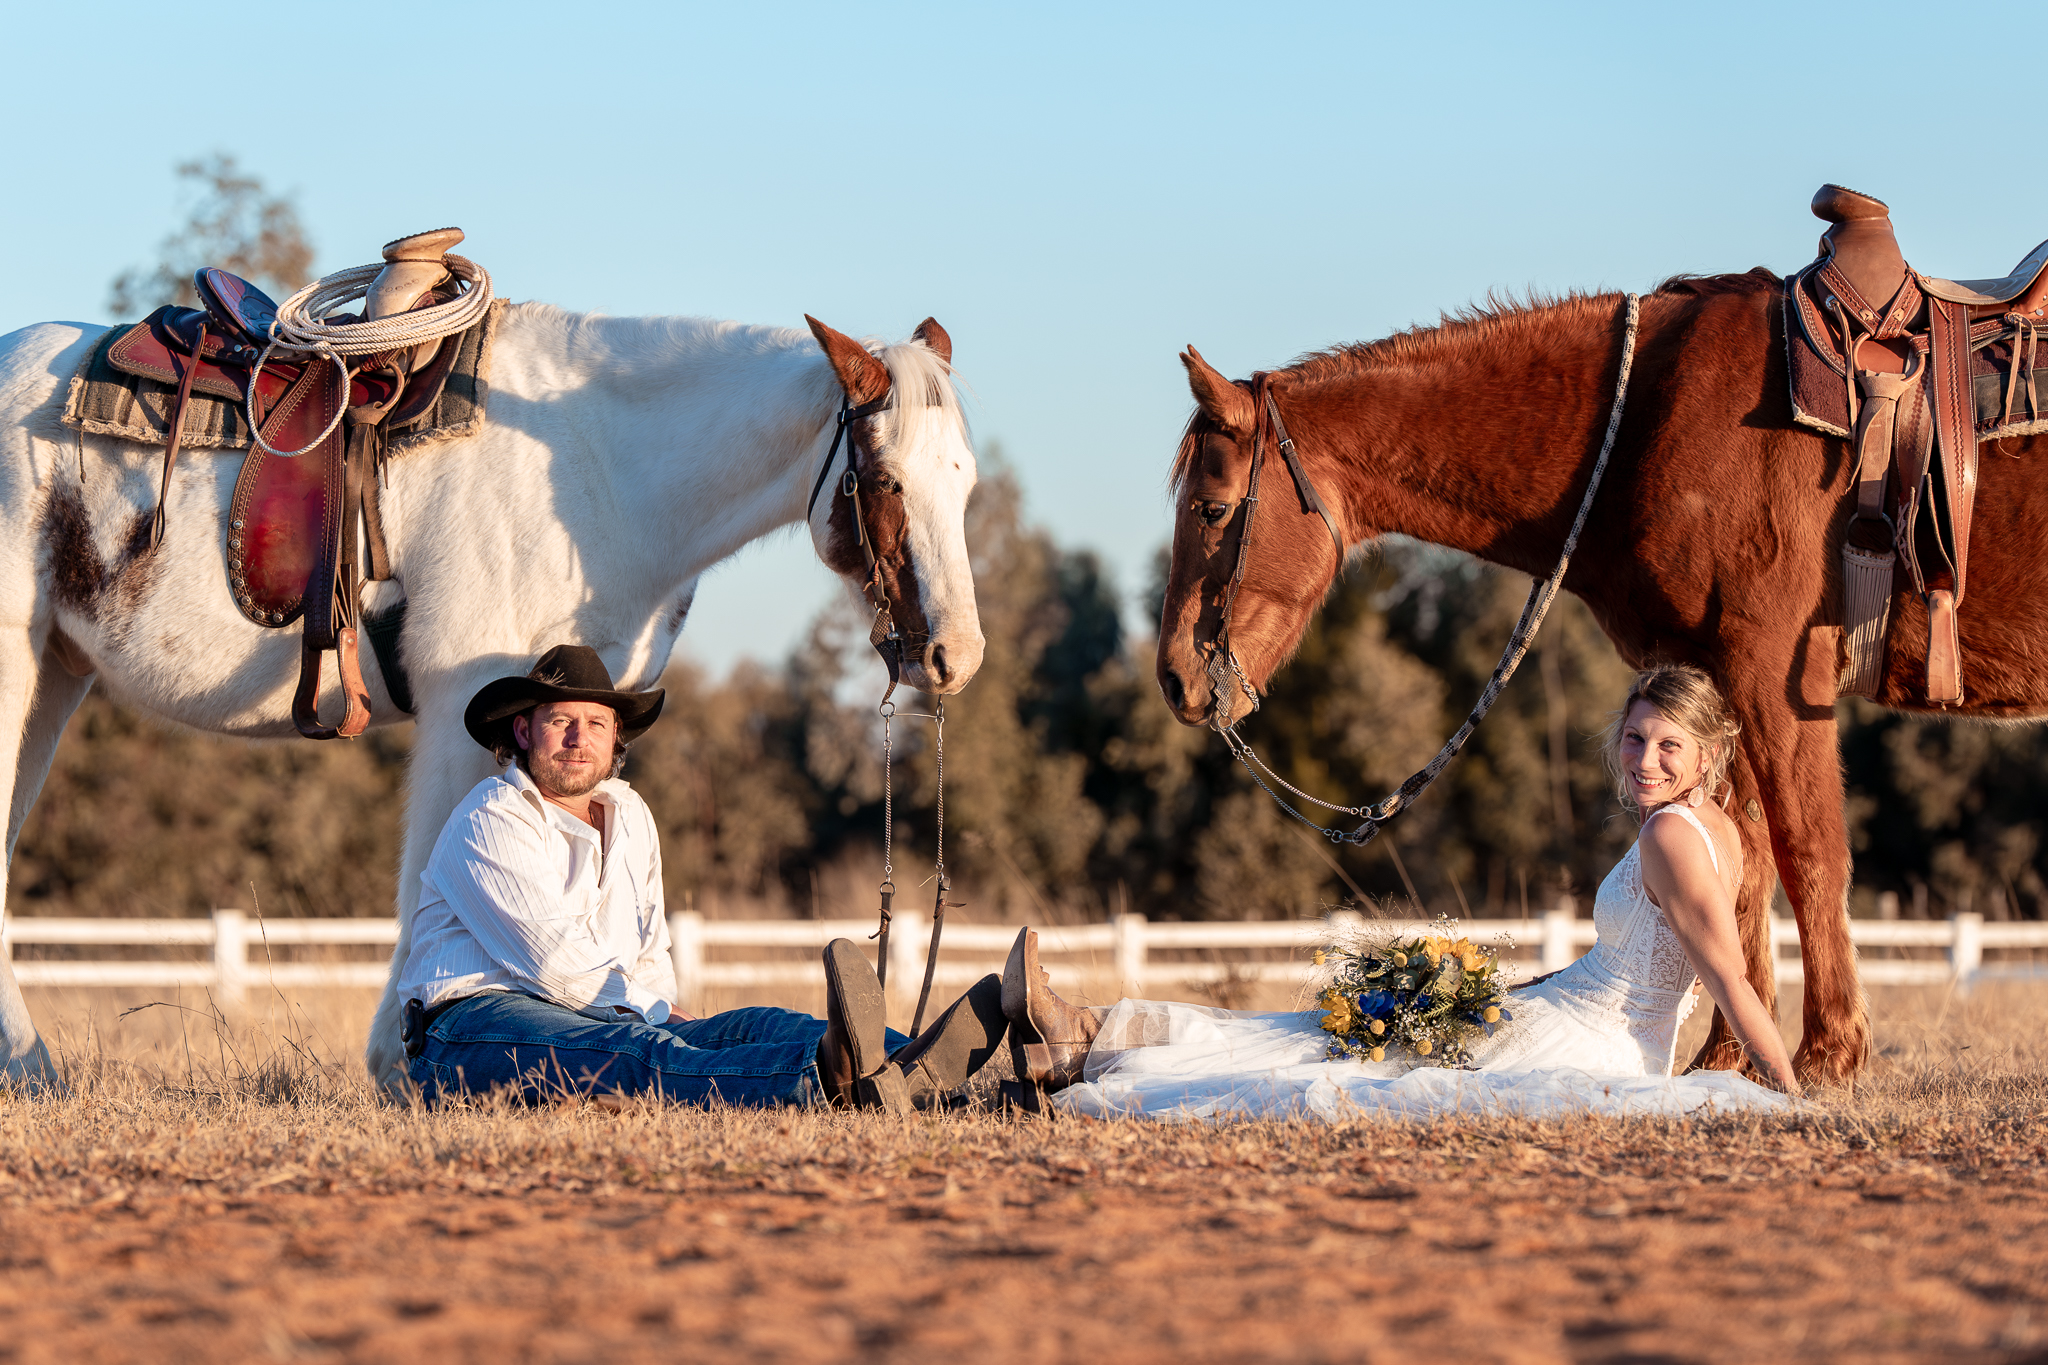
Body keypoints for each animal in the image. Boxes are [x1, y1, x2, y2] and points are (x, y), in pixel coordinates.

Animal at [0, 303, 984, 1093]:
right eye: (885, 480)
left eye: (967, 481)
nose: (956, 654)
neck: (598, 471)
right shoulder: (463, 707)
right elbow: (432, 879)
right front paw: (399, 1063)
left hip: (56, 673)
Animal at [1154, 270, 2048, 1085]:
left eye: (1210, 507)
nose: (1173, 679)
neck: (1656, 411)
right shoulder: (1714, 678)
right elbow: (1745, 863)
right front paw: (1728, 1059)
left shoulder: (1774, 675)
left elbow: (1808, 852)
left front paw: (1827, 1057)